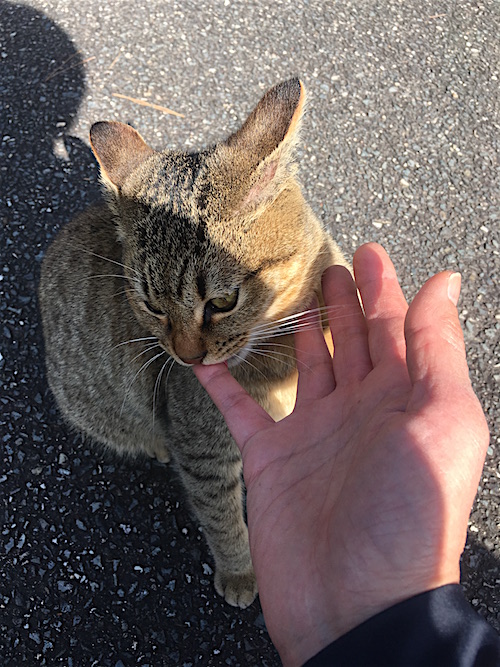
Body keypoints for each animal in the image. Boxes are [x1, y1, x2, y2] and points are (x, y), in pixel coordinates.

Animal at [38, 78, 348, 608]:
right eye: (151, 306)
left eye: (222, 302)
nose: (187, 356)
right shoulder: (204, 450)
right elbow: (221, 518)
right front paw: (241, 572)